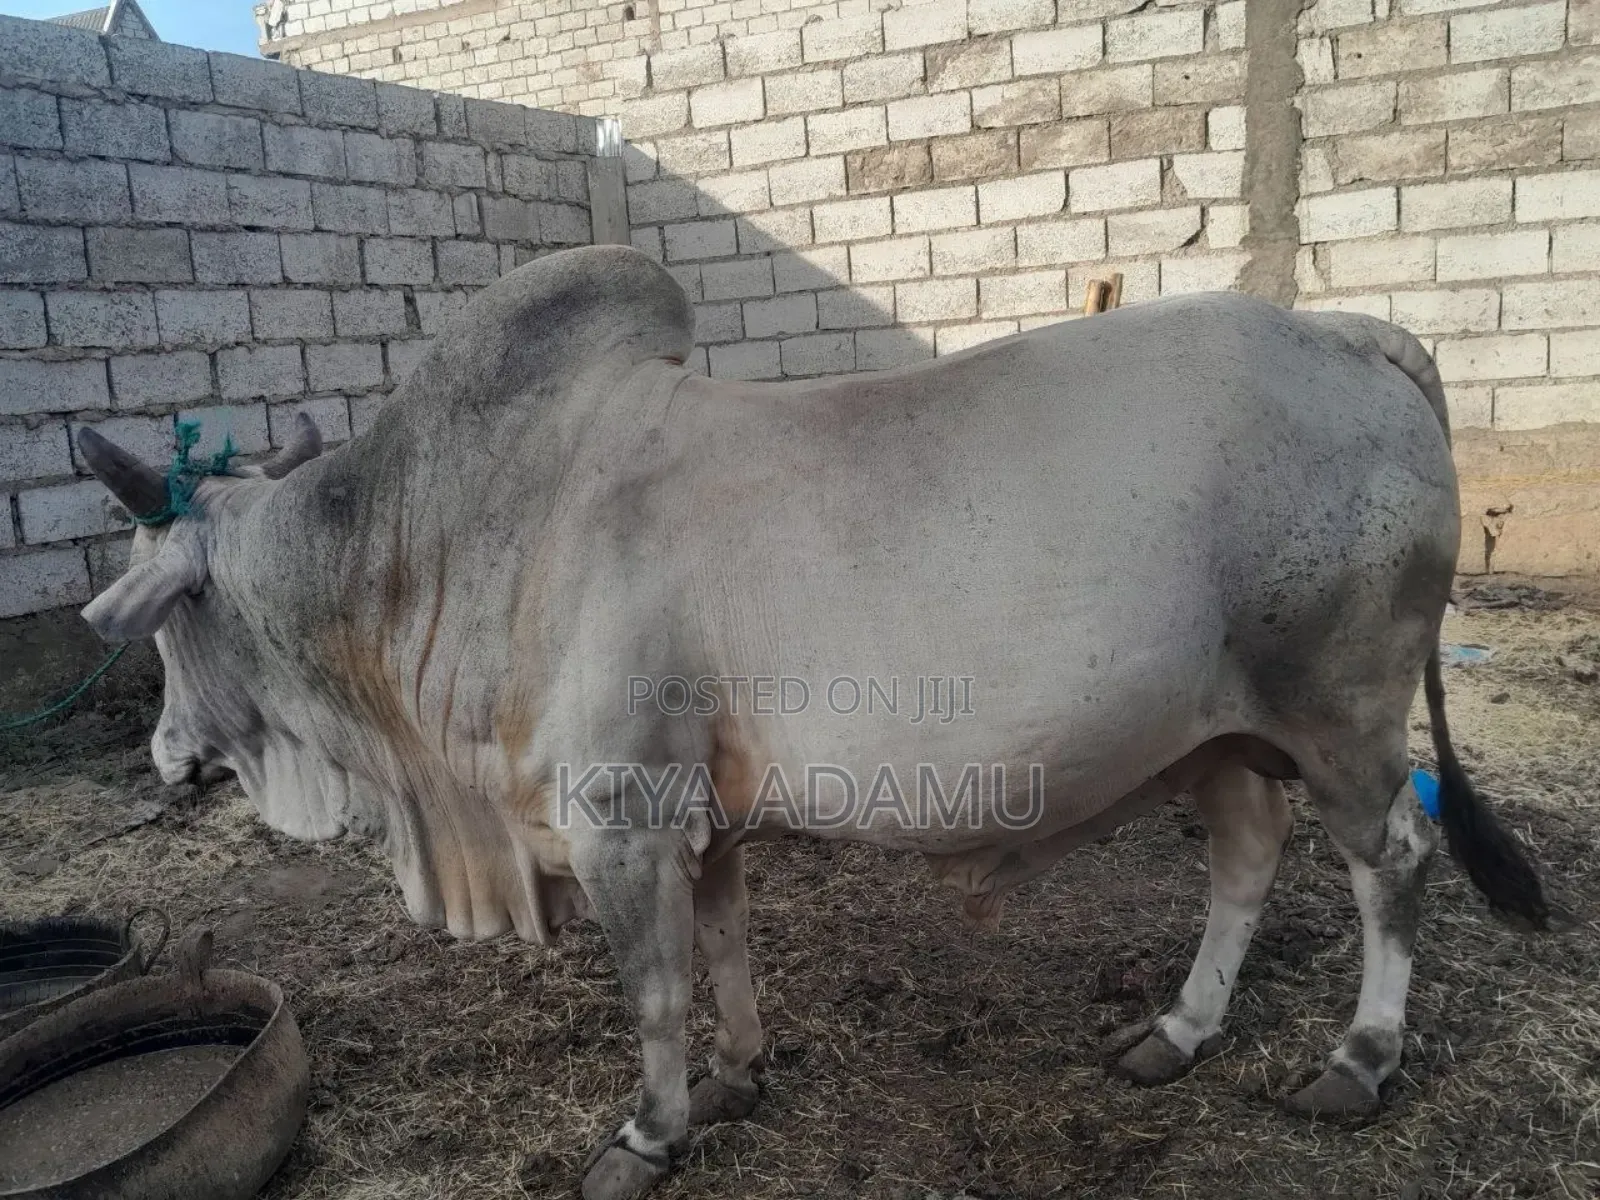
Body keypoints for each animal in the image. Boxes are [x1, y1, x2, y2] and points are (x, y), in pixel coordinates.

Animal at [76, 245, 1546, 1200]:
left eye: (170, 619)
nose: (165, 755)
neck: (444, 540)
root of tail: (1355, 335)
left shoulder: (616, 818)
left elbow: (652, 989)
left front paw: (649, 1134)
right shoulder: (701, 818)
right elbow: (722, 948)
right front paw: (736, 1075)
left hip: (1340, 715)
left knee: (1393, 865)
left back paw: (1358, 1061)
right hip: (1215, 734)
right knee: (1244, 857)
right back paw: (1177, 1034)